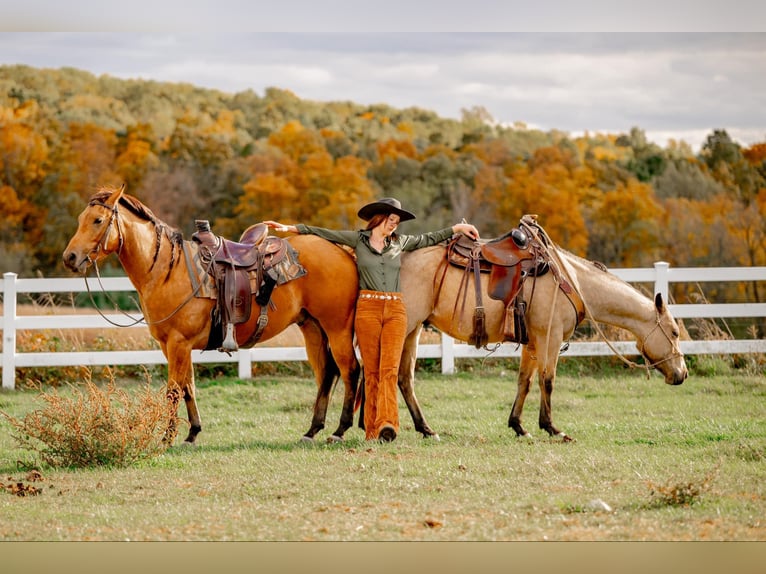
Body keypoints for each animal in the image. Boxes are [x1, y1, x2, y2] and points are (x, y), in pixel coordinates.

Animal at [61, 187, 362, 448]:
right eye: (80, 219)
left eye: (98, 220)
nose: (70, 257)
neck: (168, 271)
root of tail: (342, 250)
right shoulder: (172, 346)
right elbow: (189, 387)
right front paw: (192, 433)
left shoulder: (178, 343)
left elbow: (173, 390)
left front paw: (166, 439)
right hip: (312, 328)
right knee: (327, 373)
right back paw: (312, 430)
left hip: (337, 328)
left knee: (350, 370)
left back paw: (339, 430)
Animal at [396, 218, 688, 444]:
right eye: (674, 333)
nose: (682, 374)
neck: (571, 281)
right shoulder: (551, 338)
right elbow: (547, 380)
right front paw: (552, 428)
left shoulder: (532, 342)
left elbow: (524, 381)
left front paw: (519, 426)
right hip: (406, 326)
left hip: (413, 331)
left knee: (404, 378)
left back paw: (425, 429)